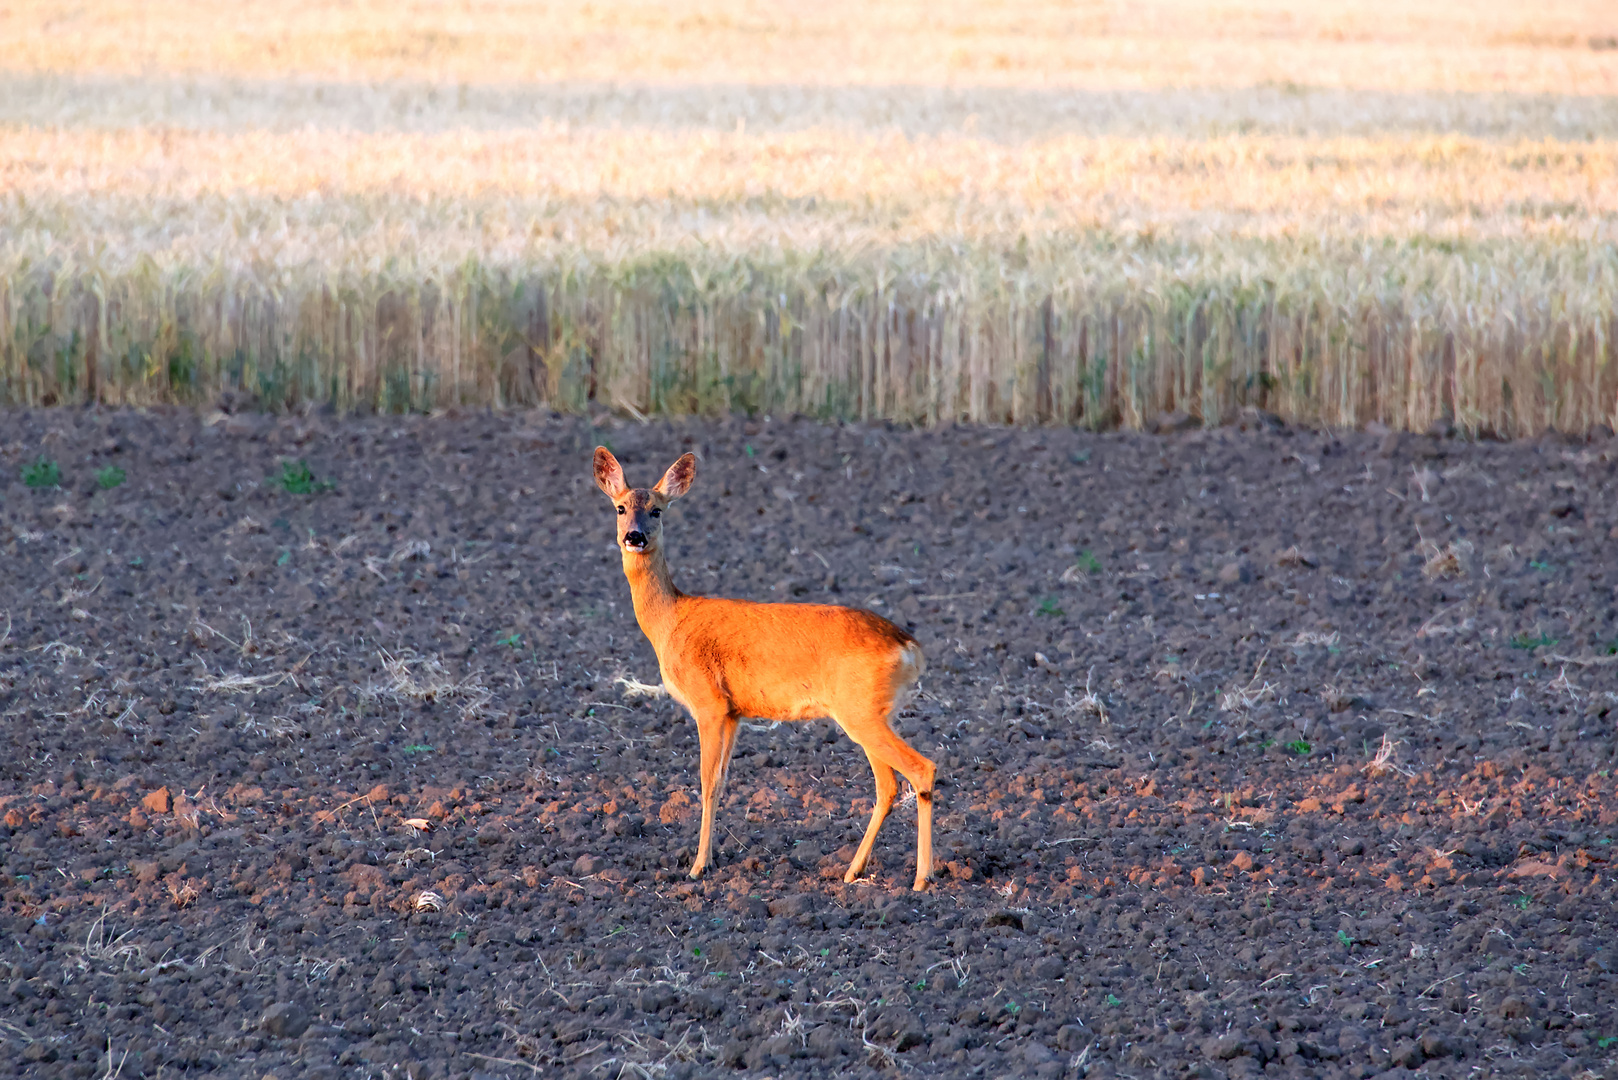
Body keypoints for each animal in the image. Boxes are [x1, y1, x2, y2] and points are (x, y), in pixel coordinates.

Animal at [595, 443, 938, 893]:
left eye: (657, 510)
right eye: (620, 508)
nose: (634, 537)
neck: (670, 620)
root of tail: (909, 646)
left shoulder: (708, 703)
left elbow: (705, 782)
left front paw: (698, 866)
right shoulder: (734, 712)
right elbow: (722, 780)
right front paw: (711, 858)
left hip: (860, 710)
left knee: (921, 769)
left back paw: (921, 878)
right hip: (875, 712)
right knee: (889, 784)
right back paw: (854, 870)